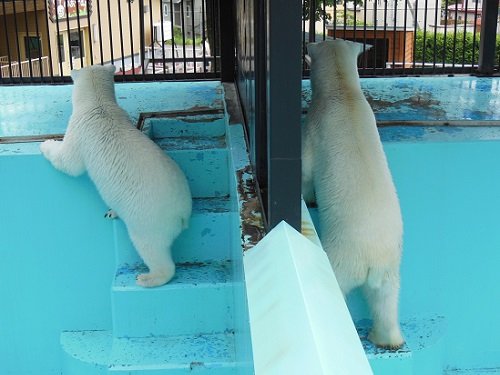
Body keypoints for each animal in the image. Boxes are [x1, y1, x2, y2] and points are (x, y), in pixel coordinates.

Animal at [39, 64, 190, 288]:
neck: (99, 106)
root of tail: (183, 213)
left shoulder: (79, 129)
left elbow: (69, 162)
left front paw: (46, 144)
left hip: (148, 217)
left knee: (150, 246)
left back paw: (147, 277)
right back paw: (113, 211)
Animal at [300, 39, 406, 350]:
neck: (342, 93)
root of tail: (371, 259)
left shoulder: (314, 129)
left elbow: (306, 171)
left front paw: (309, 199)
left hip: (341, 256)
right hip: (389, 267)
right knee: (386, 299)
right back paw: (388, 339)